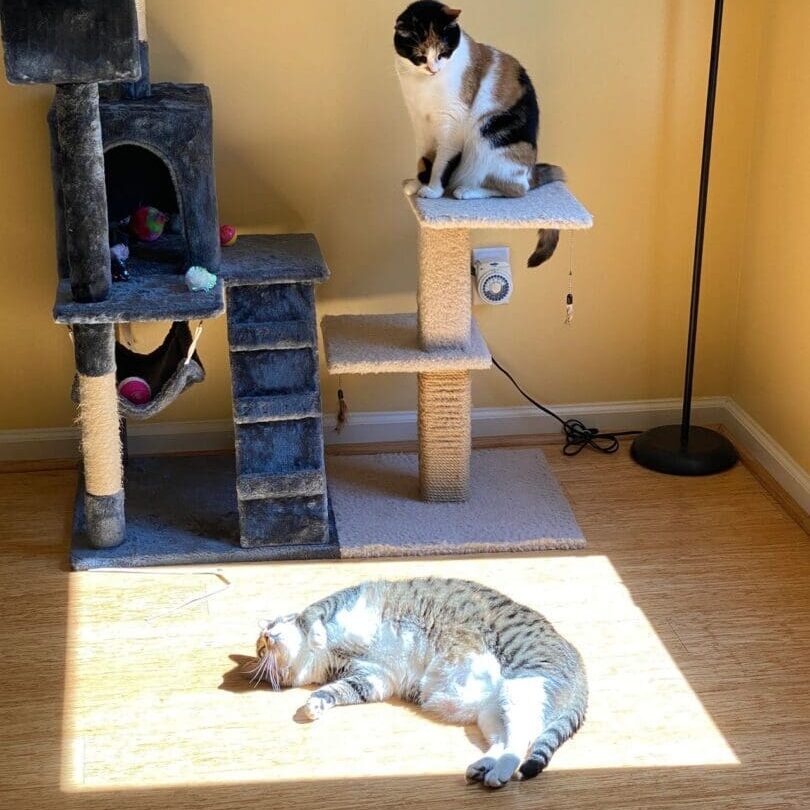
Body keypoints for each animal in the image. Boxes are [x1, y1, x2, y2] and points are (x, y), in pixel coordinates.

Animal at [249, 576, 584, 784]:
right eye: (262, 648)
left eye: (269, 629)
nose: (267, 636)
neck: (318, 658)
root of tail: (580, 667)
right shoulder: (372, 677)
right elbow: (336, 691)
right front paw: (313, 705)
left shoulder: (342, 602)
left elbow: (312, 615)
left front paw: (316, 635)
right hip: (492, 711)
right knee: (505, 739)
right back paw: (483, 767)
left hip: (522, 687)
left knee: (521, 738)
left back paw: (498, 772)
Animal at [394, 0, 564, 266]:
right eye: (420, 55)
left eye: (442, 52)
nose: (433, 68)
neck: (425, 86)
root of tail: (531, 172)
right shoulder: (421, 124)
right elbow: (424, 159)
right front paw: (418, 182)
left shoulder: (451, 124)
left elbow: (441, 163)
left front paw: (433, 190)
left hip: (490, 141)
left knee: (515, 190)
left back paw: (466, 190)